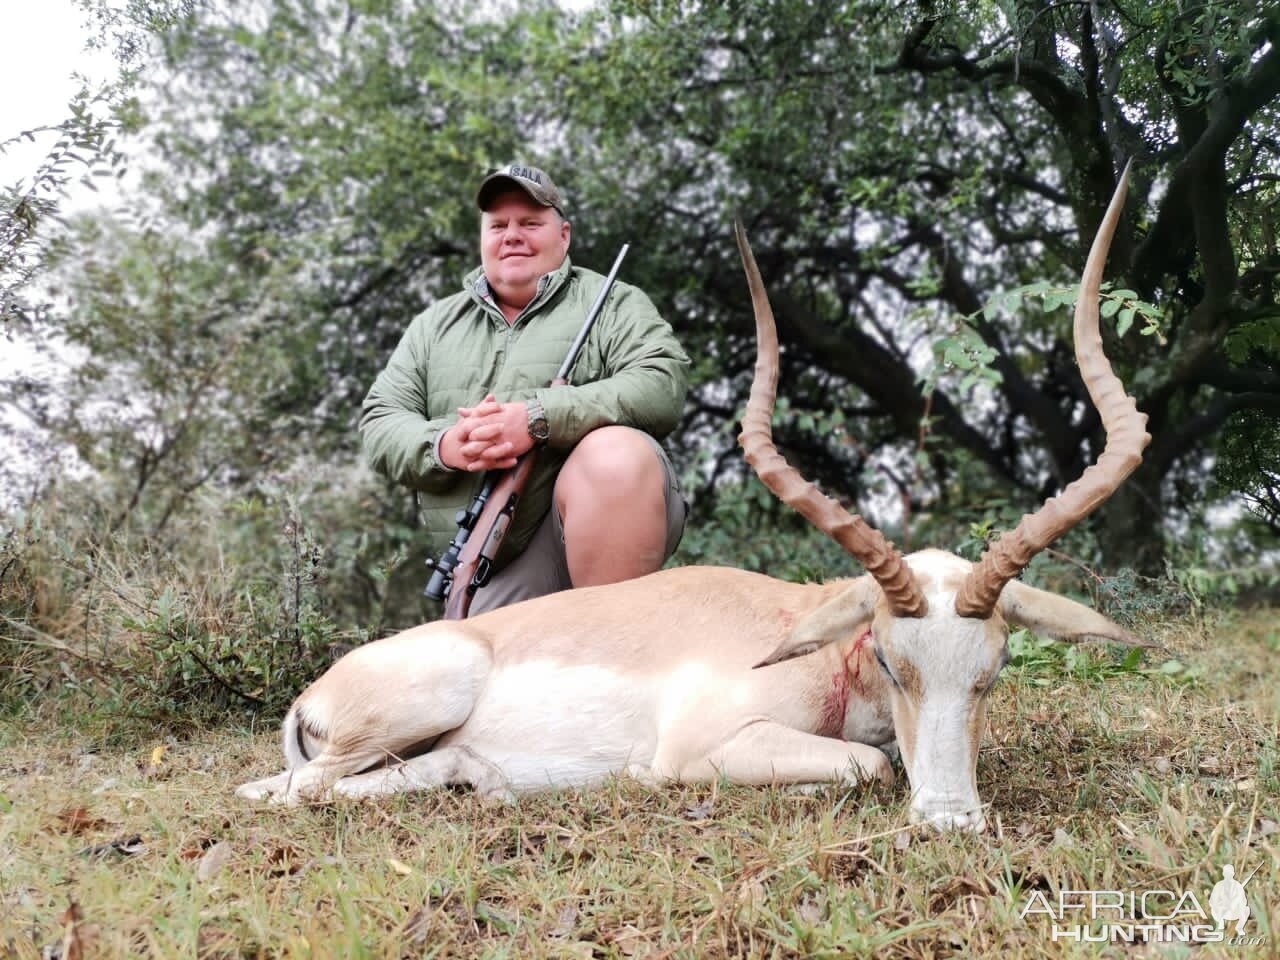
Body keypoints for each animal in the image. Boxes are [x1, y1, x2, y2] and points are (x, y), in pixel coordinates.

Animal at [238, 168, 1152, 829]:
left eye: (994, 668)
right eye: (896, 660)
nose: (951, 819)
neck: (814, 646)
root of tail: (316, 693)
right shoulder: (709, 743)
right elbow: (867, 764)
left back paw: (488, 782)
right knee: (296, 791)